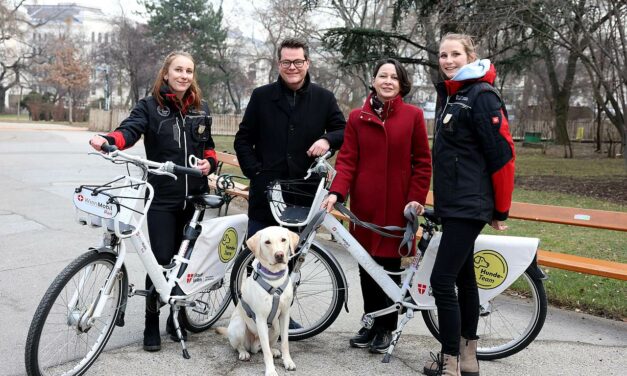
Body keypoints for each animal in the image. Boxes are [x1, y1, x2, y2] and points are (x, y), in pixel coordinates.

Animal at [221, 226, 300, 376]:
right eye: (267, 242)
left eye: (283, 239)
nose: (279, 255)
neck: (274, 278)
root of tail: (253, 345)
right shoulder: (261, 319)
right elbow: (266, 352)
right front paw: (270, 370)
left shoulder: (285, 314)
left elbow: (285, 343)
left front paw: (288, 361)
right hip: (239, 326)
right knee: (241, 346)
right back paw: (244, 353)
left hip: (275, 328)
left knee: (266, 346)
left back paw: (274, 350)